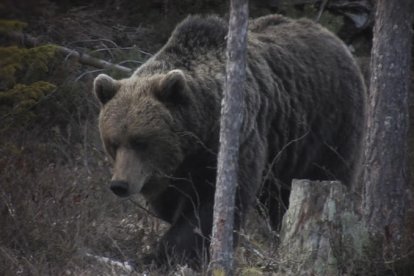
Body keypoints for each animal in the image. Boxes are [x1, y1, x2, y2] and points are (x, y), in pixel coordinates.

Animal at [93, 13, 366, 268]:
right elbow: (171, 204)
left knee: (324, 175)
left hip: (326, 127)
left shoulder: (233, 143)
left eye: (140, 141)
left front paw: (165, 255)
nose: (120, 184)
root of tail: (334, 38)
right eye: (113, 142)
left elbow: (210, 207)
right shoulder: (175, 172)